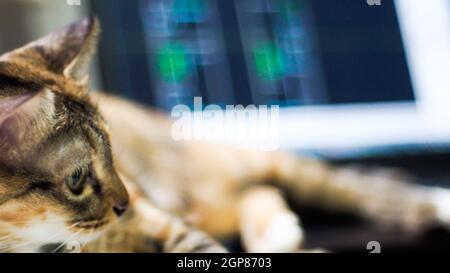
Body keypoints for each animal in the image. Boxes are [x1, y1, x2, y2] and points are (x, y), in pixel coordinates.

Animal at [0, 16, 450, 251]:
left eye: (114, 155)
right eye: (77, 179)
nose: (126, 203)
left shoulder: (162, 225)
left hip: (256, 162)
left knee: (346, 186)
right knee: (254, 194)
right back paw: (274, 233)